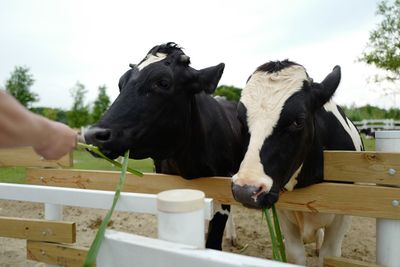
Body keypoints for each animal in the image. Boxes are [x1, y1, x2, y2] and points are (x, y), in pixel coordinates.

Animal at [231, 59, 362, 266]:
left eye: (298, 121)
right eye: (240, 119)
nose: (245, 190)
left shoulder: (342, 217)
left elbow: (329, 254)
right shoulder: (284, 214)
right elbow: (295, 254)